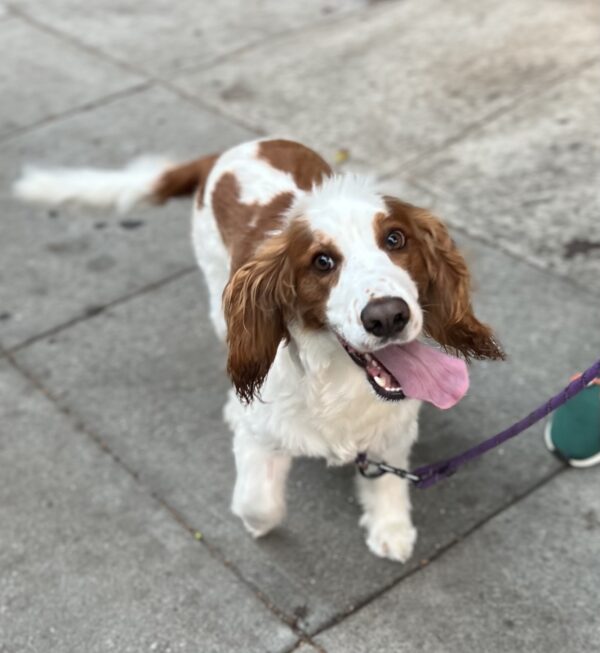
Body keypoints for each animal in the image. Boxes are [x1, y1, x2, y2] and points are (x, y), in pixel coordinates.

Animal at [14, 138, 504, 560]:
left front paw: (391, 527)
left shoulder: (393, 427)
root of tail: (229, 151)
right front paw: (256, 521)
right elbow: (259, 503)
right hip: (219, 298)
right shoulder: (262, 437)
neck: (336, 379)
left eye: (396, 239)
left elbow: (388, 478)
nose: (387, 317)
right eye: (321, 262)